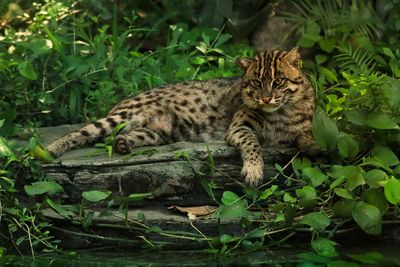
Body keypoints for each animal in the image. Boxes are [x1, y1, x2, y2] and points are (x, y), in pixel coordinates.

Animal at [45, 47, 318, 186]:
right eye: (256, 83)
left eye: (278, 81)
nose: (265, 99)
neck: (282, 112)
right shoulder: (238, 126)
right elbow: (253, 144)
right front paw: (253, 171)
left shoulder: (301, 128)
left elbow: (306, 137)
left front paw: (314, 147)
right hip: (120, 118)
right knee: (81, 132)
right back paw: (49, 150)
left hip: (159, 133)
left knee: (124, 137)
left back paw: (123, 144)